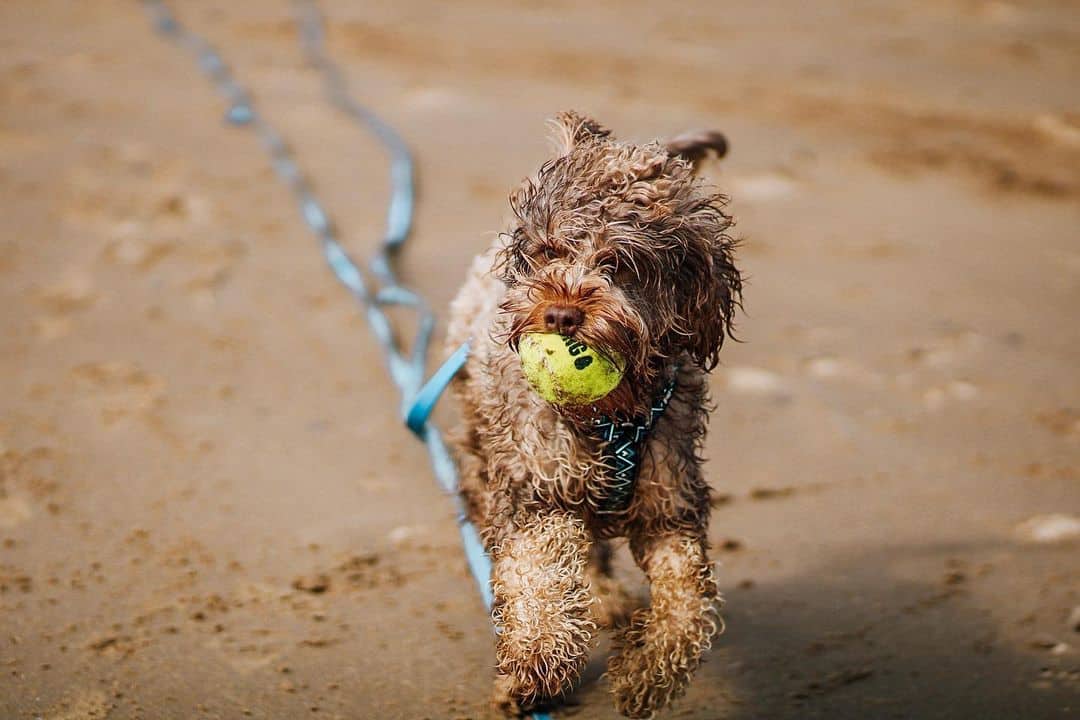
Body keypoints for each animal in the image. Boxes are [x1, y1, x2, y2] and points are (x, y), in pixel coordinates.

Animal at [447, 110, 743, 716]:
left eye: (620, 263)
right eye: (548, 251)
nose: (560, 315)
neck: (610, 417)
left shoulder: (669, 505)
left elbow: (687, 605)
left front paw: (644, 674)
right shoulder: (535, 488)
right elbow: (538, 575)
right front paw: (535, 663)